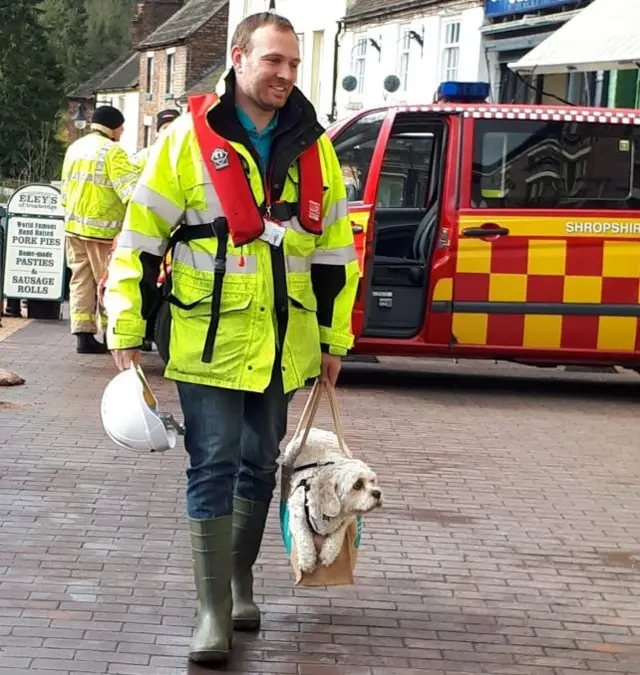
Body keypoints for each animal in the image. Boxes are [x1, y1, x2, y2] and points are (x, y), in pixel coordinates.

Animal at [280, 428, 380, 576]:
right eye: (357, 484)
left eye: (372, 481)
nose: (377, 493)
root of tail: (318, 430)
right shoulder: (297, 513)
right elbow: (304, 536)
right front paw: (307, 560)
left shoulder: (348, 518)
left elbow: (338, 534)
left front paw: (328, 553)